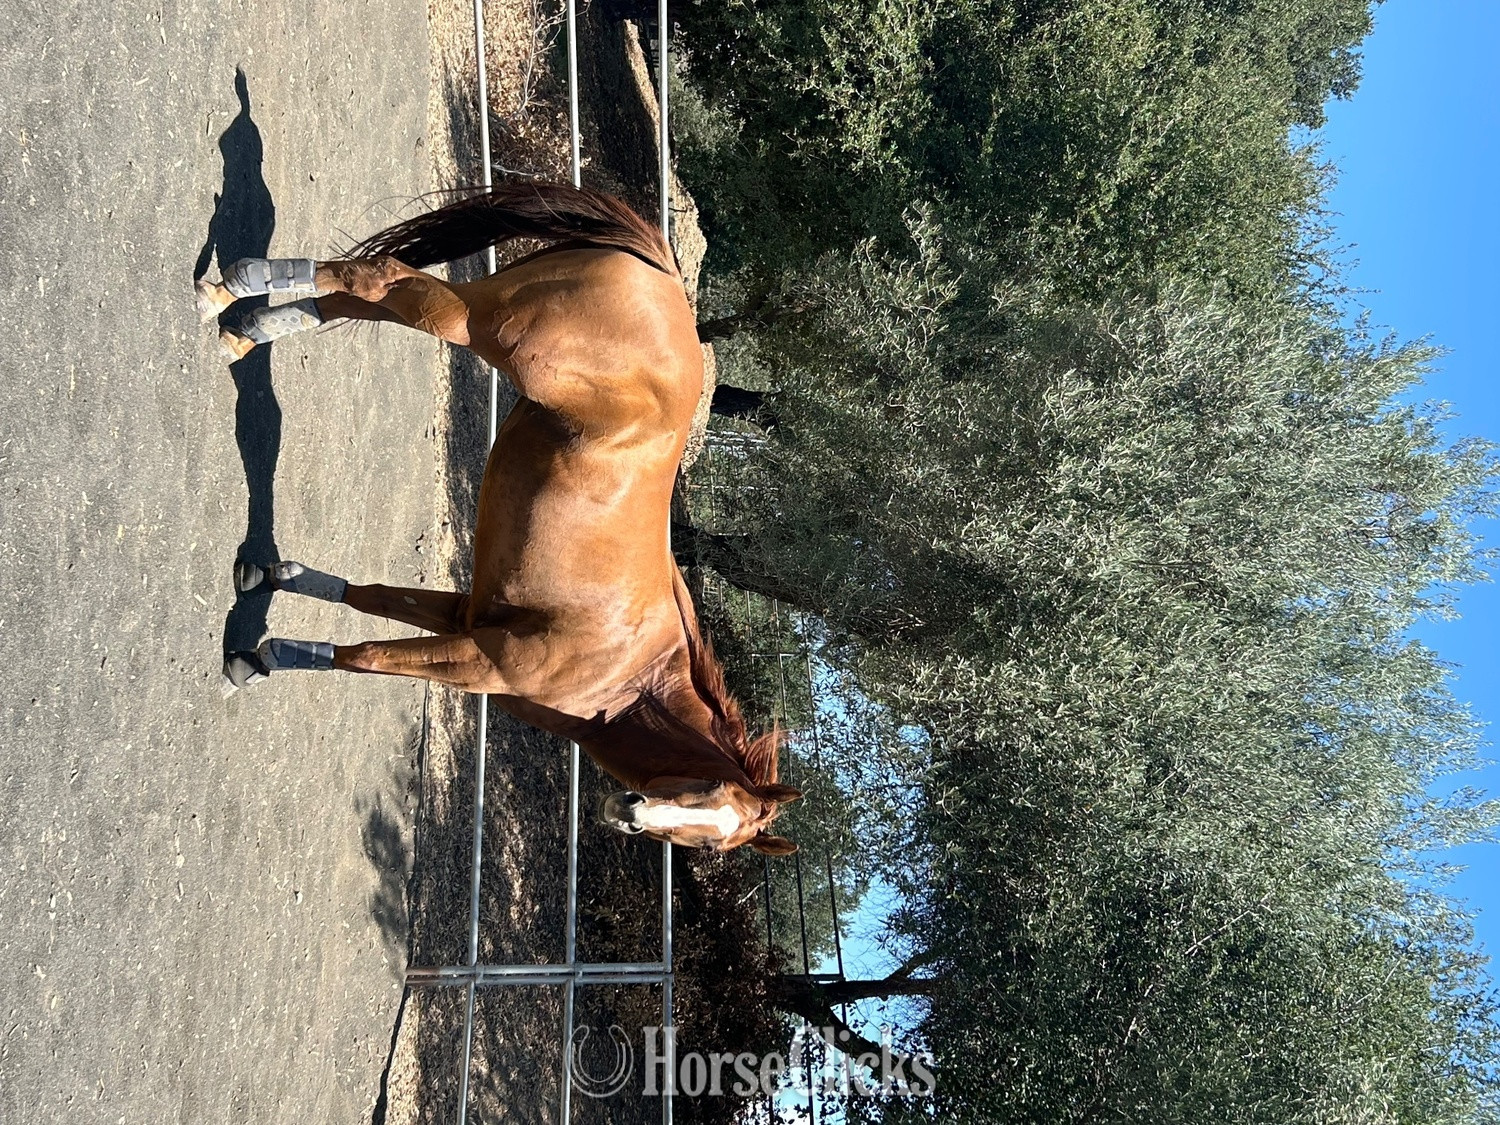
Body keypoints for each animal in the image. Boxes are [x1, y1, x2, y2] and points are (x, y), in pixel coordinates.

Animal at [198, 182, 800, 855]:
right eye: (707, 831)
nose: (630, 810)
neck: (626, 676)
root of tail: (668, 280)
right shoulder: (478, 663)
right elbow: (369, 656)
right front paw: (261, 659)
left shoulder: (463, 615)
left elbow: (370, 597)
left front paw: (271, 583)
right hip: (483, 328)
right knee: (380, 279)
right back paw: (239, 285)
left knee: (365, 299)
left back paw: (241, 321)